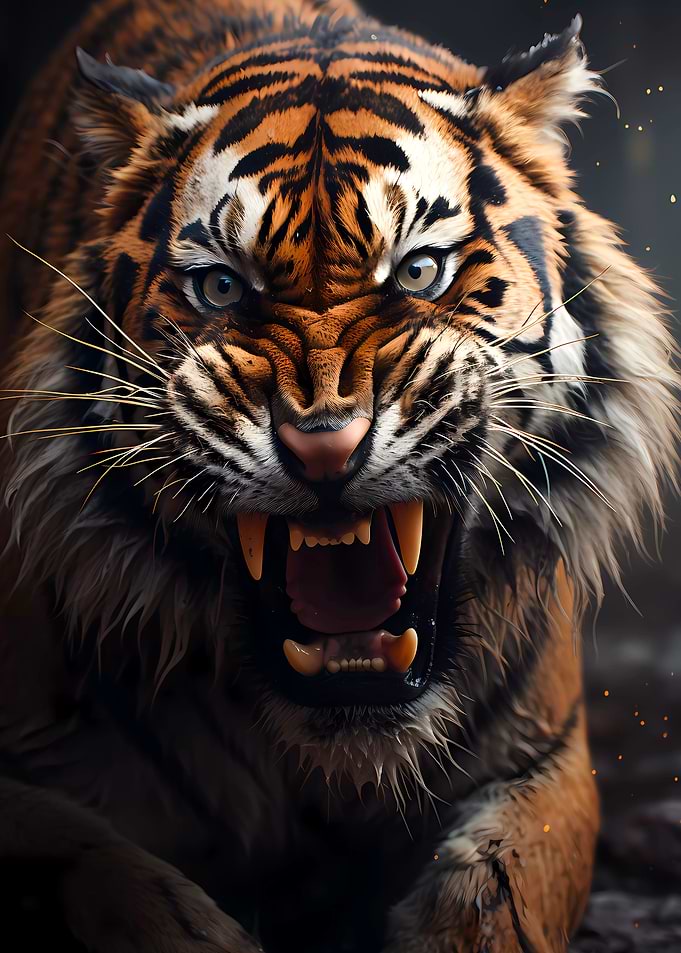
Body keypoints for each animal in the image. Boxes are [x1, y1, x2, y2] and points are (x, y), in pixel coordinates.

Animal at [0, 0, 676, 950]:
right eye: (220, 289)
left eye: (420, 270)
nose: (323, 446)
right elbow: (93, 865)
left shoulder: (544, 767)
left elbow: (493, 898)